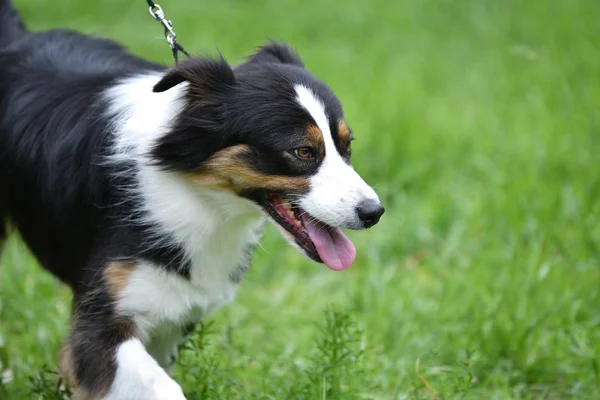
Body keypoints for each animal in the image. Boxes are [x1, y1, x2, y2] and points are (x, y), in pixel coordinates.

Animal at [0, 1, 384, 398]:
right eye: (303, 151)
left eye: (347, 146)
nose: (374, 212)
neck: (200, 196)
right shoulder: (103, 315)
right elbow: (158, 384)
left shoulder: (173, 310)